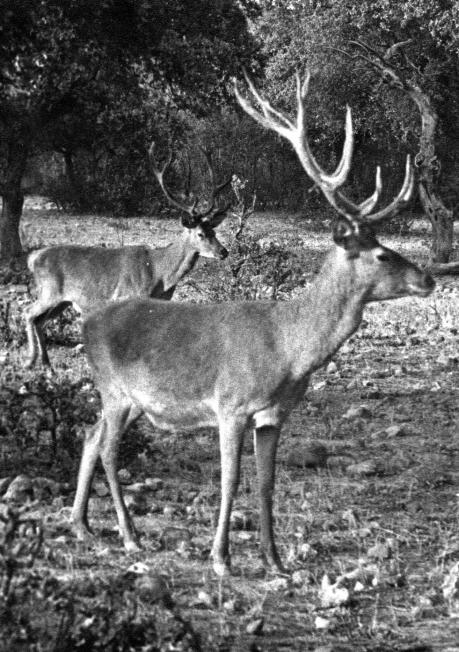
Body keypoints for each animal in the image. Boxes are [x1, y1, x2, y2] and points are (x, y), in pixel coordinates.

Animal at [24, 145, 231, 368]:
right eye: (200, 234)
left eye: (214, 231)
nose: (223, 252)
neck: (159, 273)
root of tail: (33, 258)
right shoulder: (132, 295)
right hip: (49, 291)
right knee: (29, 312)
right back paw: (30, 360)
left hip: (62, 300)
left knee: (39, 319)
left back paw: (45, 362)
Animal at [70, 71, 434, 576]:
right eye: (381, 254)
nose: (429, 278)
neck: (288, 349)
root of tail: (87, 322)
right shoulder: (231, 404)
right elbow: (231, 478)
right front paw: (221, 558)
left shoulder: (275, 414)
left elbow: (266, 482)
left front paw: (275, 560)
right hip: (115, 388)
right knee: (106, 448)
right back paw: (129, 535)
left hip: (132, 399)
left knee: (89, 436)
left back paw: (82, 524)